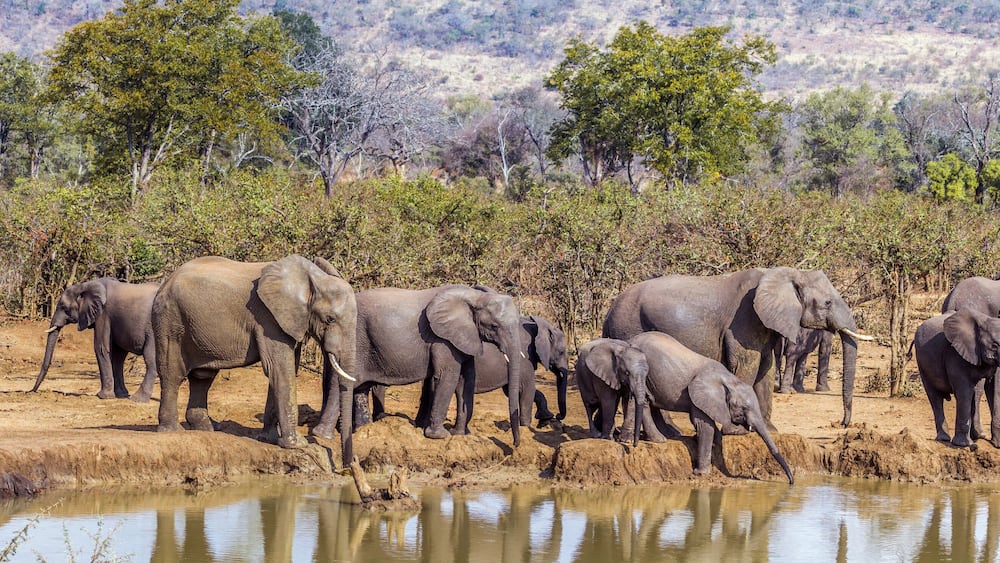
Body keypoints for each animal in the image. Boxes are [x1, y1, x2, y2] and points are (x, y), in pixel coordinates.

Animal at [152, 255, 357, 452]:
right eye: (330, 319)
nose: (348, 462)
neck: (311, 281)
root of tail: (166, 282)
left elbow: (286, 368)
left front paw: (269, 439)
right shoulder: (268, 319)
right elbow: (279, 369)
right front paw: (298, 445)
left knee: (202, 377)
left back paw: (205, 429)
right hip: (170, 322)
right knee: (172, 374)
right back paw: (172, 431)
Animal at [323, 284, 528, 465]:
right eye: (494, 326)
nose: (515, 445)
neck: (474, 297)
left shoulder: (465, 337)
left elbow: (466, 380)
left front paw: (459, 434)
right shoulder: (442, 339)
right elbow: (447, 376)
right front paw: (440, 436)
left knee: (359, 386)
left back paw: (363, 429)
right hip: (354, 340)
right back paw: (323, 435)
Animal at [602, 267, 872, 427]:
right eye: (827, 303)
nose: (843, 424)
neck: (784, 274)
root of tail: (608, 312)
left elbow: (765, 371)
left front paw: (770, 429)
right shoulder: (744, 321)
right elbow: (747, 369)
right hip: (629, 326)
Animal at [627, 331, 795, 483]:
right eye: (743, 408)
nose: (791, 482)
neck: (728, 380)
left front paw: (712, 444)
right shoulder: (701, 396)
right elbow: (704, 425)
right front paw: (701, 473)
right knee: (645, 402)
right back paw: (659, 439)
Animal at [914, 309, 1000, 448]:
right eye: (994, 345)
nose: (974, 447)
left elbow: (994, 388)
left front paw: (996, 444)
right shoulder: (954, 353)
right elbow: (964, 392)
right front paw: (964, 445)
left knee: (976, 393)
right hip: (922, 362)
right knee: (935, 397)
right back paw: (944, 439)